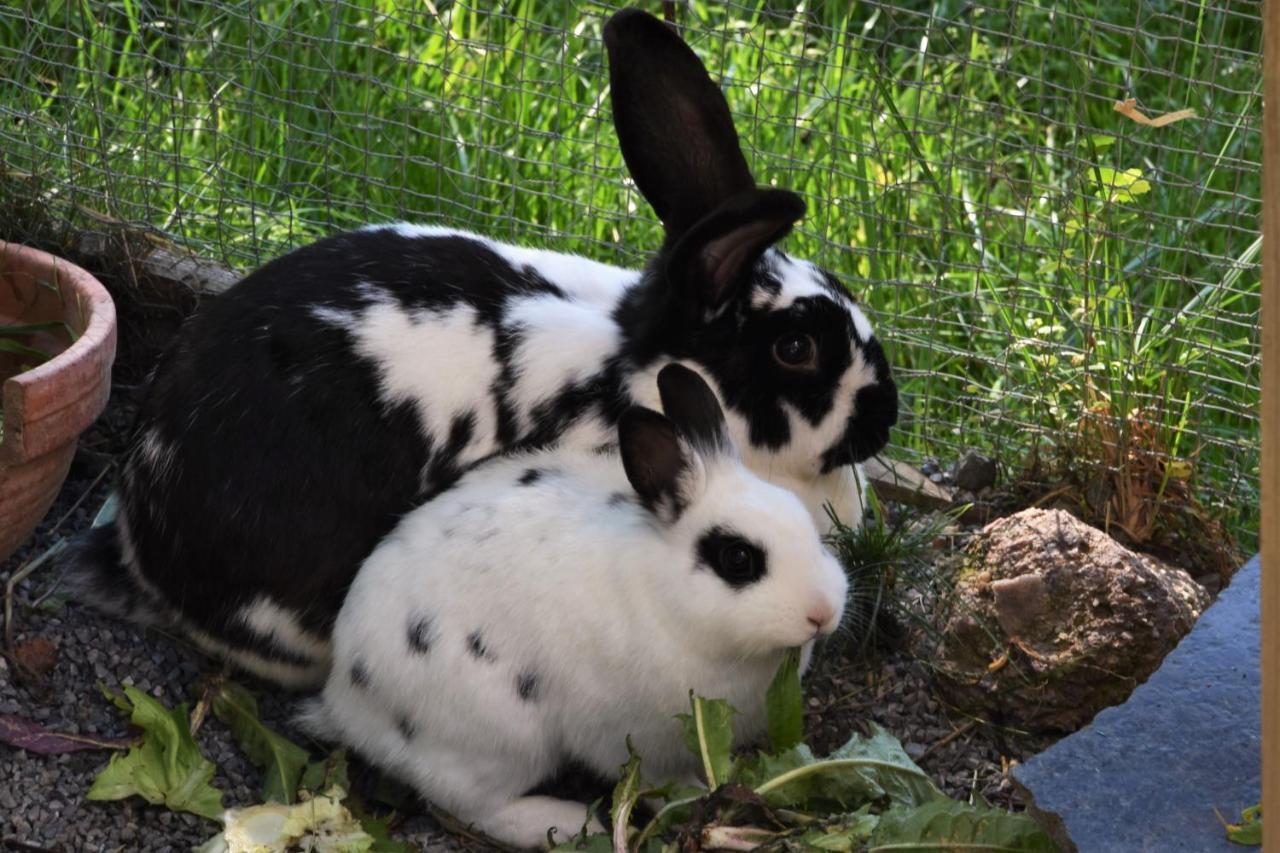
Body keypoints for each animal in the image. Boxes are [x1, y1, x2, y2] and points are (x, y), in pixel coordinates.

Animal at [294, 363, 844, 845]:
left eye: (804, 521)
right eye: (738, 559)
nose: (823, 613)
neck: (666, 596)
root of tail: (347, 699)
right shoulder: (637, 739)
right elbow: (658, 779)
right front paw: (690, 796)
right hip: (500, 737)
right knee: (467, 805)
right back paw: (561, 821)